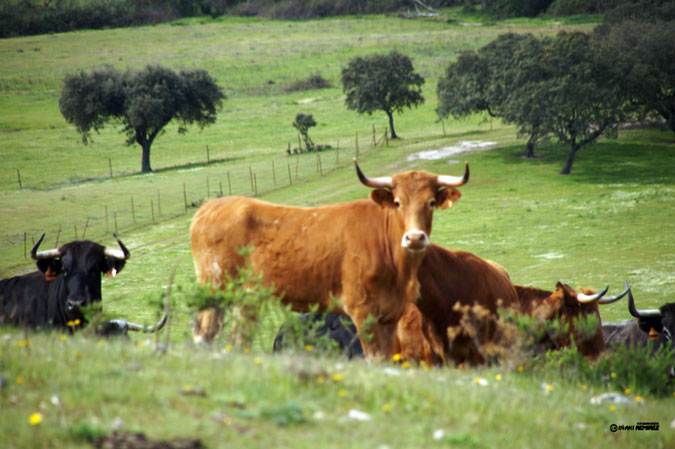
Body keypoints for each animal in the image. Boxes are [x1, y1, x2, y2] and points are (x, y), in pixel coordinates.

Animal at [187, 159, 468, 358]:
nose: (415, 238)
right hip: (215, 289)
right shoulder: (362, 312)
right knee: (202, 334)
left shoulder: (390, 316)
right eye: (398, 202)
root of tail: (211, 206)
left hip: (243, 300)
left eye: (431, 202)